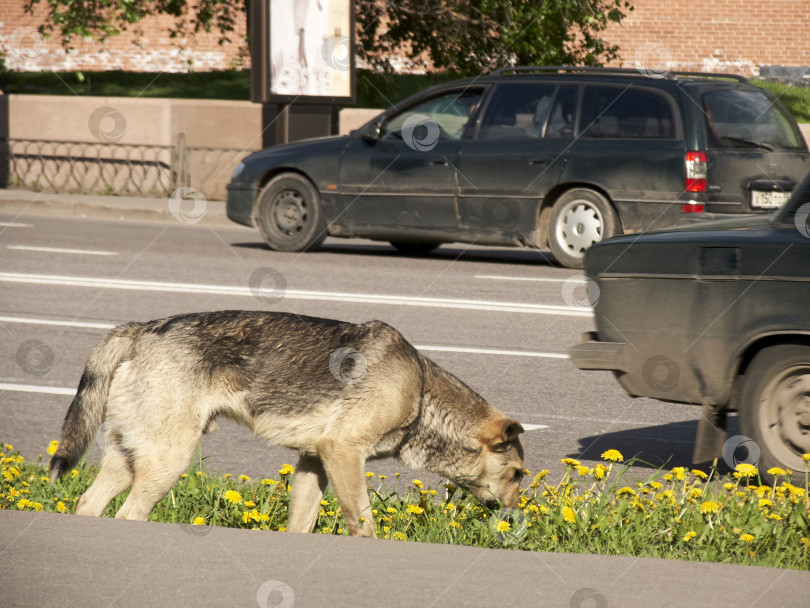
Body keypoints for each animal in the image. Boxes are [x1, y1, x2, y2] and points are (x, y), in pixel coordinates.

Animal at [53, 312, 528, 536]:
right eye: (518, 475)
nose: (514, 516)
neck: (422, 392)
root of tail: (141, 329)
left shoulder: (313, 462)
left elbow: (301, 522)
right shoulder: (343, 455)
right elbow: (364, 525)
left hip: (129, 458)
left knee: (88, 504)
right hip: (167, 462)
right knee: (129, 513)